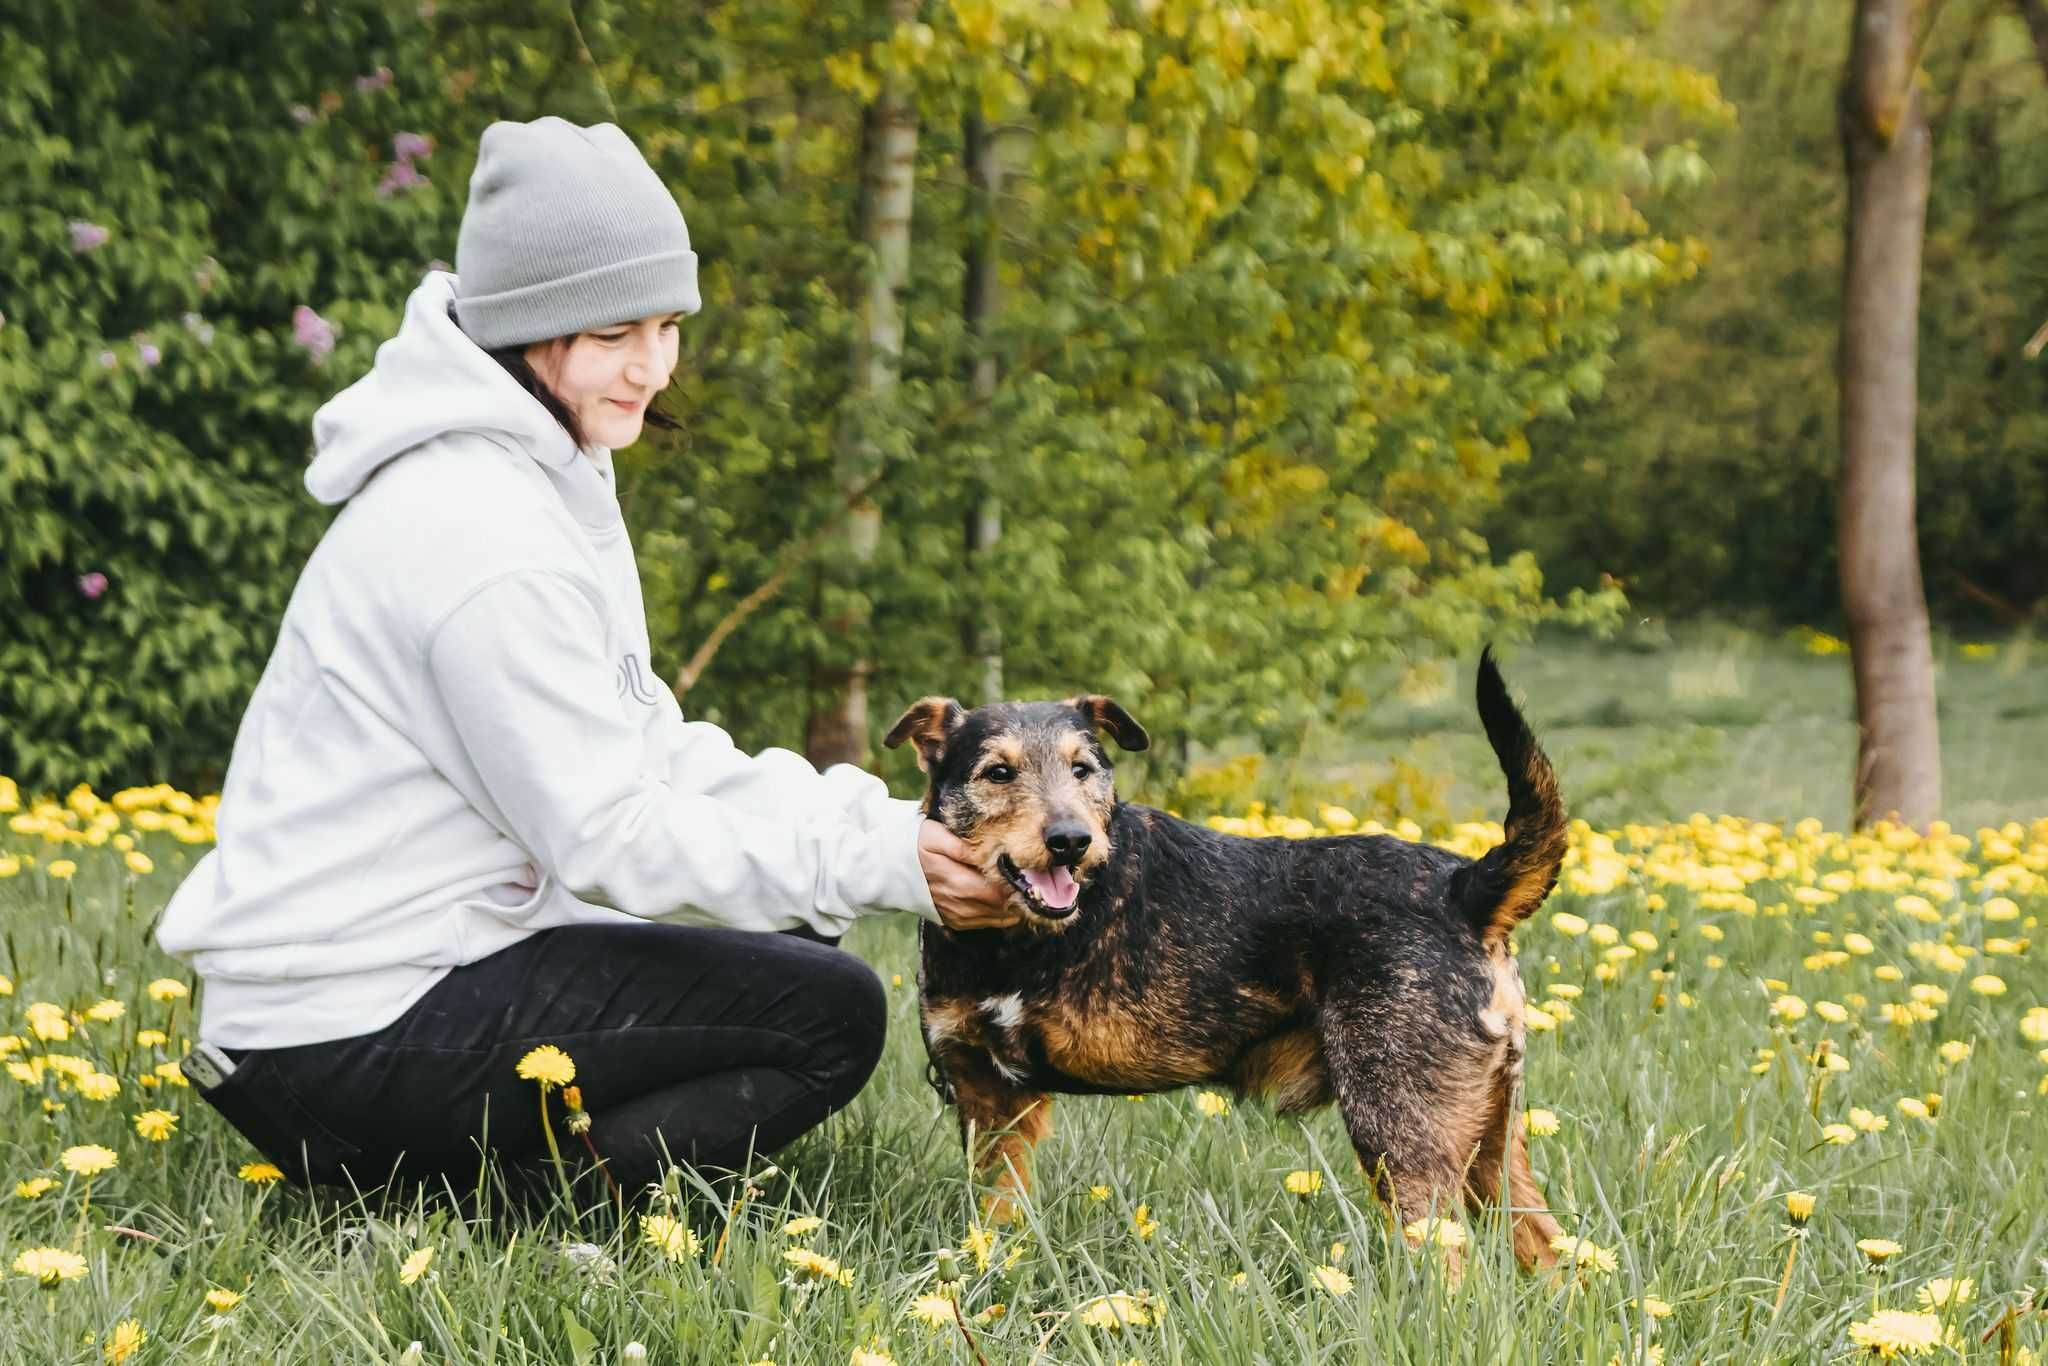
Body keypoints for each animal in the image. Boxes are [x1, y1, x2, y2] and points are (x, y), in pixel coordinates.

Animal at [880, 651, 1564, 1269]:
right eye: (998, 772)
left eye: (1083, 769)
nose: (1072, 841)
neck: (1011, 935)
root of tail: (1465, 887)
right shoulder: (991, 1102)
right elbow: (998, 1217)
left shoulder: (995, 1096)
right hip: (1490, 1140)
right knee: (1551, 1252)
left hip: (1401, 1129)